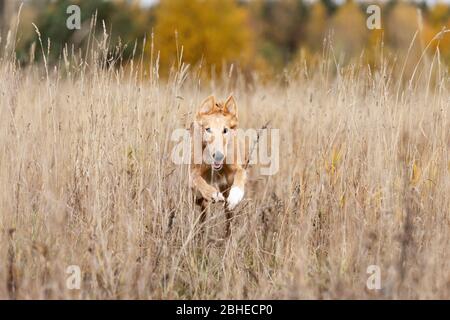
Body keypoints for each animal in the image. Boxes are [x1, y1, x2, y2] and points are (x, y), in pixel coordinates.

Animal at [189, 94, 248, 236]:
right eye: (208, 129)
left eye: (225, 130)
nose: (219, 156)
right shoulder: (193, 174)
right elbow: (197, 179)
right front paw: (213, 194)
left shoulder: (235, 168)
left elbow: (240, 173)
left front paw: (235, 195)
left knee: (228, 218)